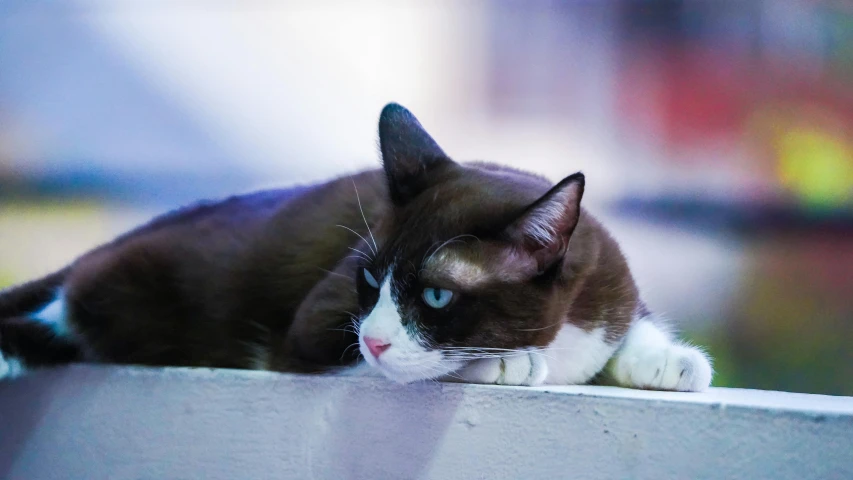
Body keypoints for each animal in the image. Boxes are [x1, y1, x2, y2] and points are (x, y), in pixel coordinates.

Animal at [0, 102, 712, 390]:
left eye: (435, 295)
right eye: (369, 281)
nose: (372, 337)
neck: (559, 335)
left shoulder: (607, 277)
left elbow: (629, 324)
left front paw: (670, 361)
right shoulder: (309, 329)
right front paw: (505, 363)